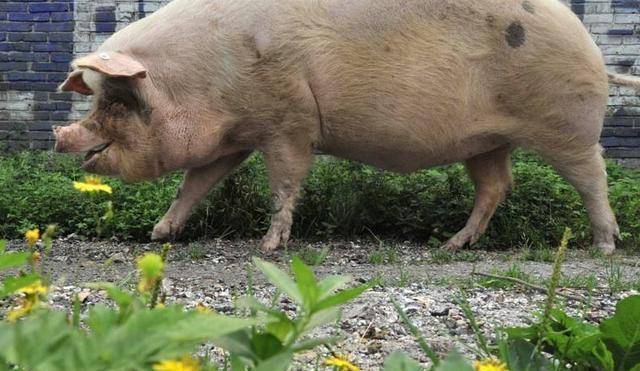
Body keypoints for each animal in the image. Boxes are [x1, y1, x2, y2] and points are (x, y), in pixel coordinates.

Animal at [55, 0, 640, 254]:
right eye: (99, 97)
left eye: (118, 98)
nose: (63, 136)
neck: (206, 76)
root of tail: (592, 49)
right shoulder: (236, 135)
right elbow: (195, 184)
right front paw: (159, 234)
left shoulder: (288, 118)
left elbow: (285, 182)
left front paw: (268, 248)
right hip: (486, 140)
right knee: (497, 185)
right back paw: (453, 246)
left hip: (566, 126)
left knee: (594, 177)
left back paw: (605, 248)